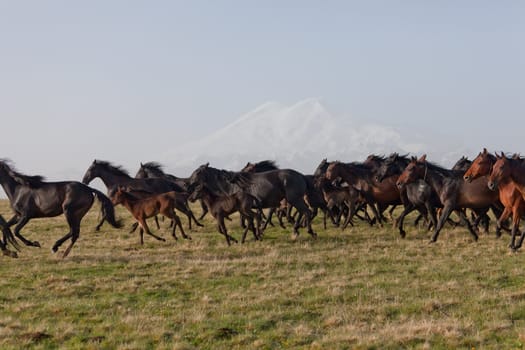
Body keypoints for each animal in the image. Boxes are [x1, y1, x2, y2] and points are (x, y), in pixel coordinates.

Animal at [187, 163, 316, 238]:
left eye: (197, 172)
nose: (188, 185)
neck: (231, 185)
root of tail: (301, 176)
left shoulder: (243, 208)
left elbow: (248, 221)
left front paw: (256, 233)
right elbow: (250, 221)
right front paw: (257, 233)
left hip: (294, 199)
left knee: (306, 212)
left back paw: (309, 232)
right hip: (295, 200)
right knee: (304, 212)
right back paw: (297, 229)